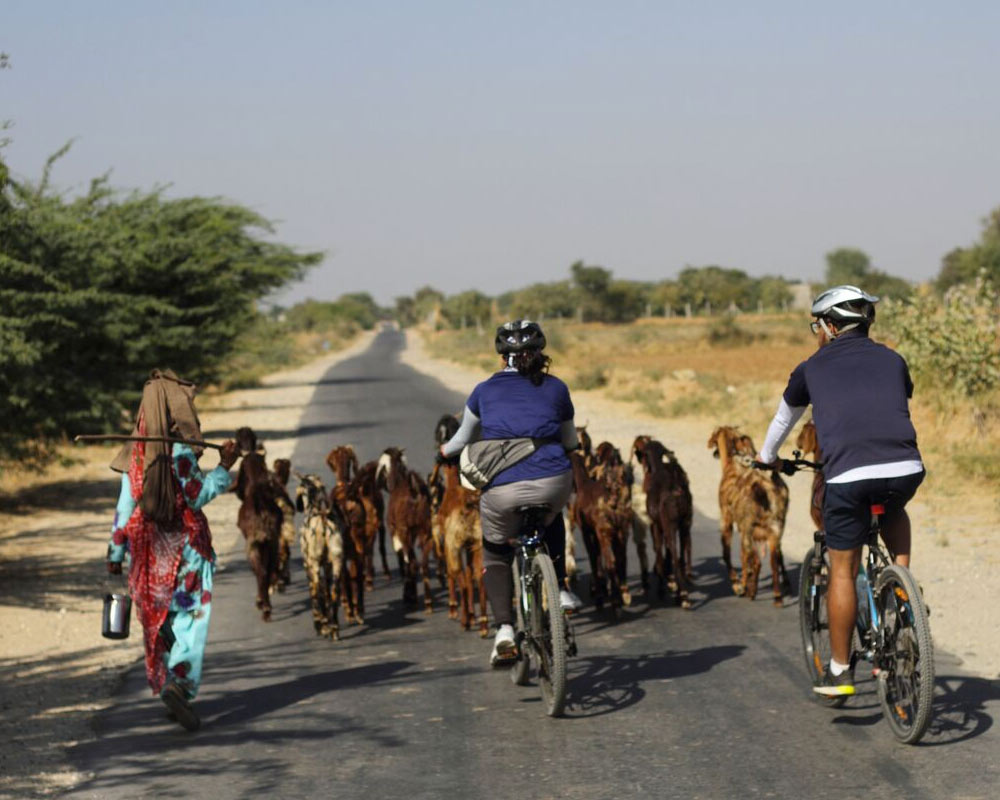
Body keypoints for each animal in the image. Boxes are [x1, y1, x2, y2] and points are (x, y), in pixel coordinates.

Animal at [708, 424, 792, 608]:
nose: (714, 451)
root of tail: (766, 490)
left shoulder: (728, 519)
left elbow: (729, 554)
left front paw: (739, 586)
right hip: (773, 530)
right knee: (773, 559)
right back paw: (777, 595)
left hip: (749, 531)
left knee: (757, 560)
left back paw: (751, 591)